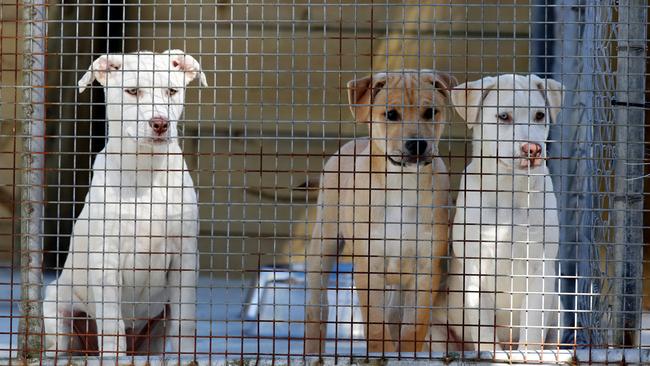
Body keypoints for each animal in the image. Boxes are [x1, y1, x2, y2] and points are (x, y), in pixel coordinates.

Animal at [43, 50, 205, 356]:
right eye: (132, 91)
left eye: (172, 91)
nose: (160, 123)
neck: (146, 171)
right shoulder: (106, 261)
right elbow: (111, 324)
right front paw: (112, 356)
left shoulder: (185, 258)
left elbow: (187, 322)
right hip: (56, 303)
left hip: (155, 331)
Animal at [306, 70, 454, 354]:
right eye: (391, 114)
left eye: (431, 112)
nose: (417, 145)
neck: (402, 183)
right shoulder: (369, 265)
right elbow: (375, 324)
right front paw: (380, 353)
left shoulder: (426, 268)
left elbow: (414, 327)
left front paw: (408, 355)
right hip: (324, 242)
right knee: (316, 307)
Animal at [428, 75, 560, 354]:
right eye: (503, 116)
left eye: (540, 115)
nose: (533, 149)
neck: (510, 188)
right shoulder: (475, 274)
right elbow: (485, 334)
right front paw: (492, 355)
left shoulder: (540, 269)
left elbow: (532, 326)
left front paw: (528, 355)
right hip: (437, 330)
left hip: (559, 310)